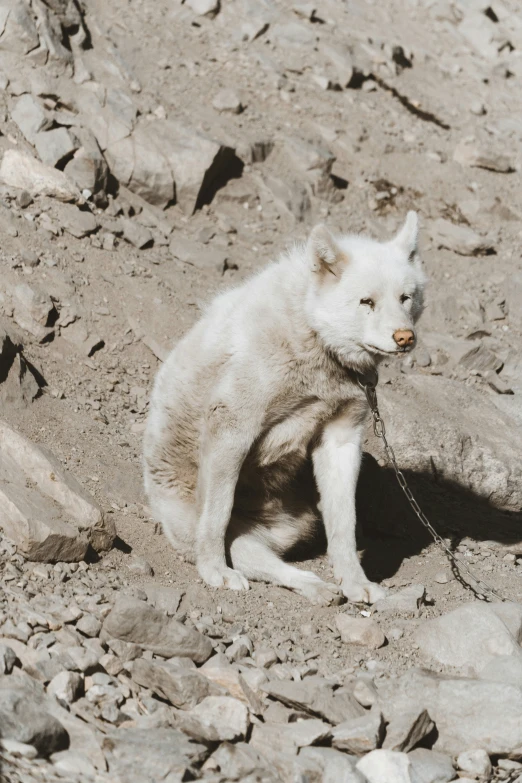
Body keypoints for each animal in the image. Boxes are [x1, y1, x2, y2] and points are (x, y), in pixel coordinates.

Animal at [142, 213, 422, 608]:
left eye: (405, 298)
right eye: (366, 301)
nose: (404, 337)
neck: (313, 338)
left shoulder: (341, 440)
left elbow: (344, 526)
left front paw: (356, 583)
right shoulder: (232, 426)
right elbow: (215, 516)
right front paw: (214, 572)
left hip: (295, 525)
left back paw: (323, 587)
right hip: (200, 520)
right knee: (246, 553)